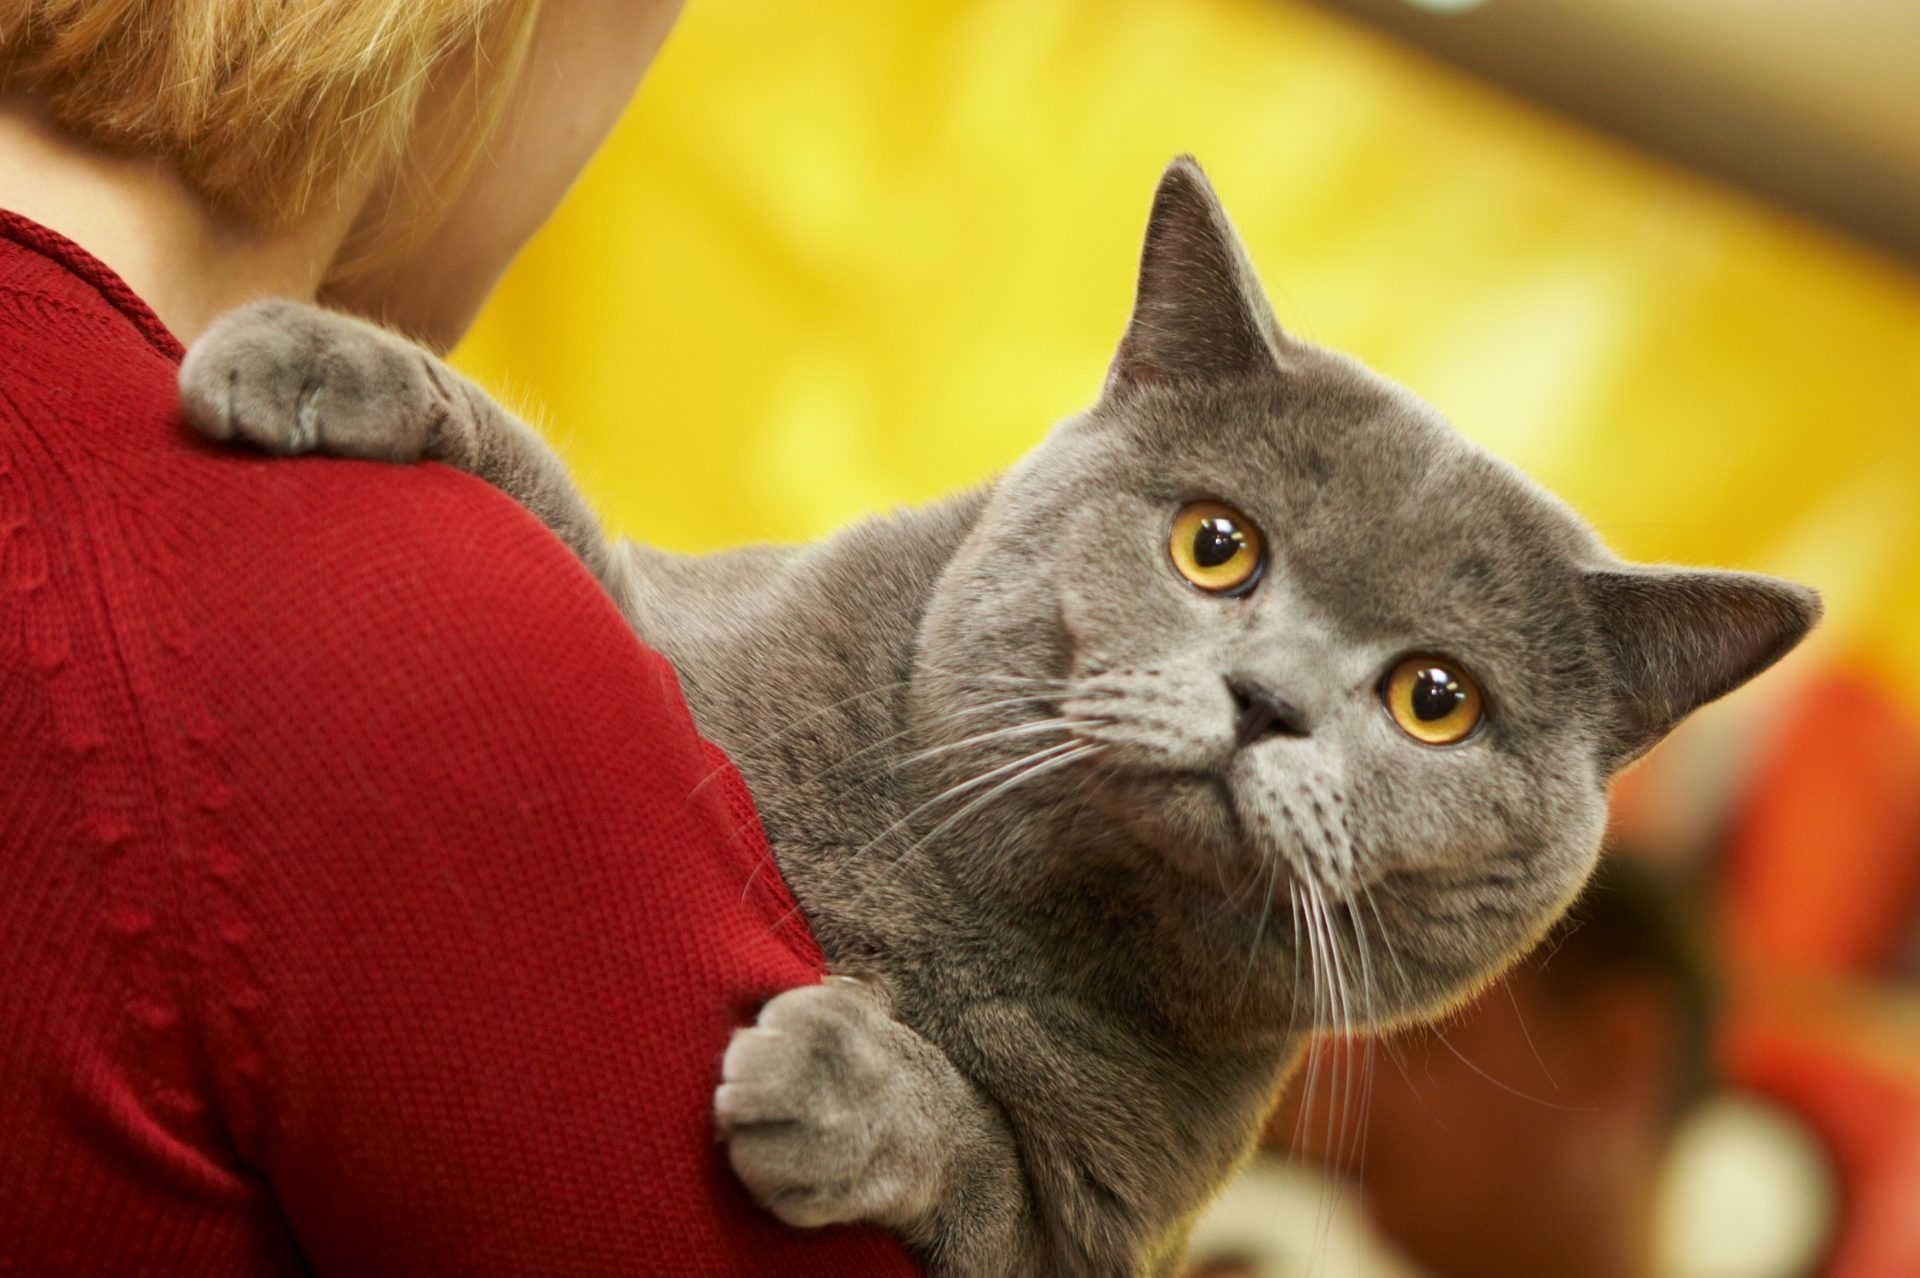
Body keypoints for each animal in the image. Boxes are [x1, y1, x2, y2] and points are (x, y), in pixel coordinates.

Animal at [180, 159, 1812, 1274]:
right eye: (1215, 545)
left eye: (1435, 699)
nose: (1268, 698)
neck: (987, 920)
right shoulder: (670, 644)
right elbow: (571, 526)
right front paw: (317, 359)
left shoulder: (1103, 1235)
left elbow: (984, 1164)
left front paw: (841, 1086)